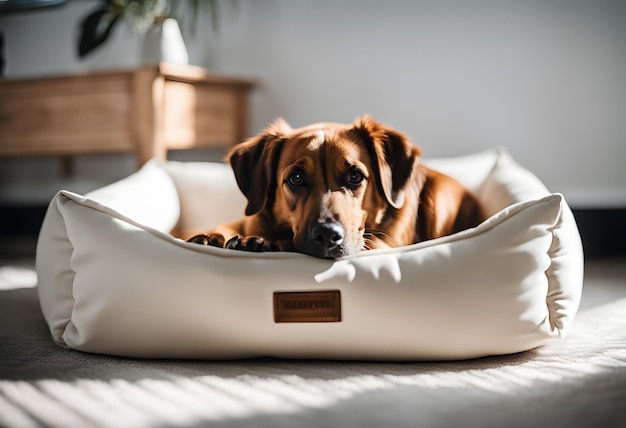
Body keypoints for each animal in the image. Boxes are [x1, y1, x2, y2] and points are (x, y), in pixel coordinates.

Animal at [188, 115, 486, 260]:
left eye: (355, 176)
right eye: (296, 178)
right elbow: (226, 227)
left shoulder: (380, 244)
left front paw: (261, 244)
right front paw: (210, 236)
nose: (327, 235)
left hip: (442, 197)